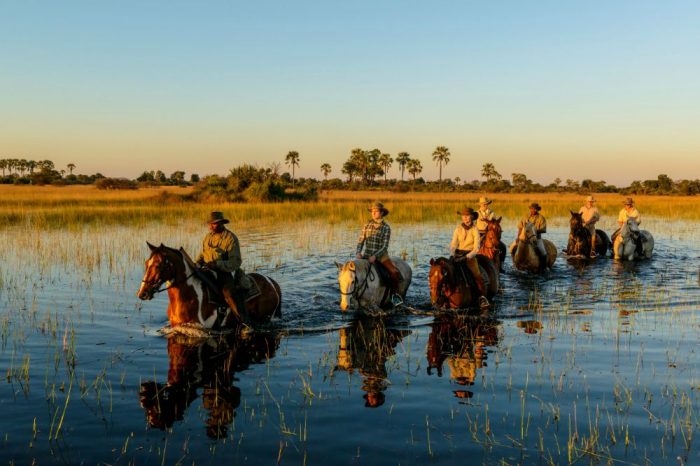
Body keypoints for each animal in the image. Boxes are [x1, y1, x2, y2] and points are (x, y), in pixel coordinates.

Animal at [137, 242, 282, 330]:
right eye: (146, 263)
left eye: (158, 265)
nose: (142, 293)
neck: (188, 296)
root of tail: (271, 282)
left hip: (265, 318)